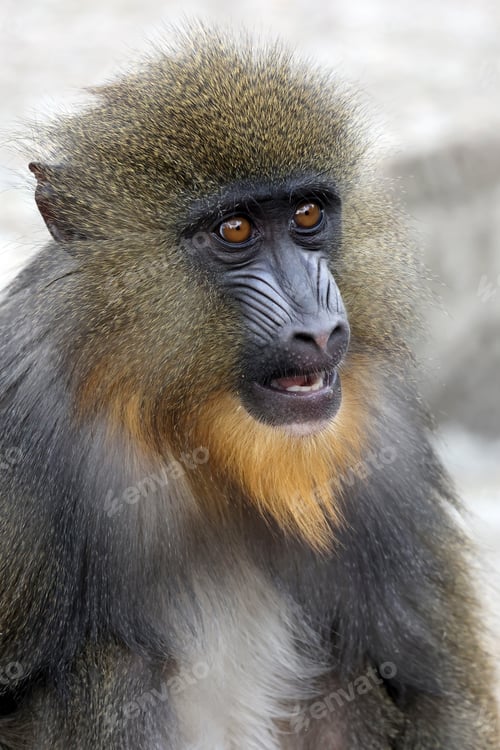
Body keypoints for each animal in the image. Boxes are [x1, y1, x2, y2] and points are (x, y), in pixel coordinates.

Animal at [0, 24, 498, 750]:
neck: (184, 427)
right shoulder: (25, 426)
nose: (317, 330)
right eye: (234, 229)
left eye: (308, 214)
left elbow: (438, 694)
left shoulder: (386, 435)